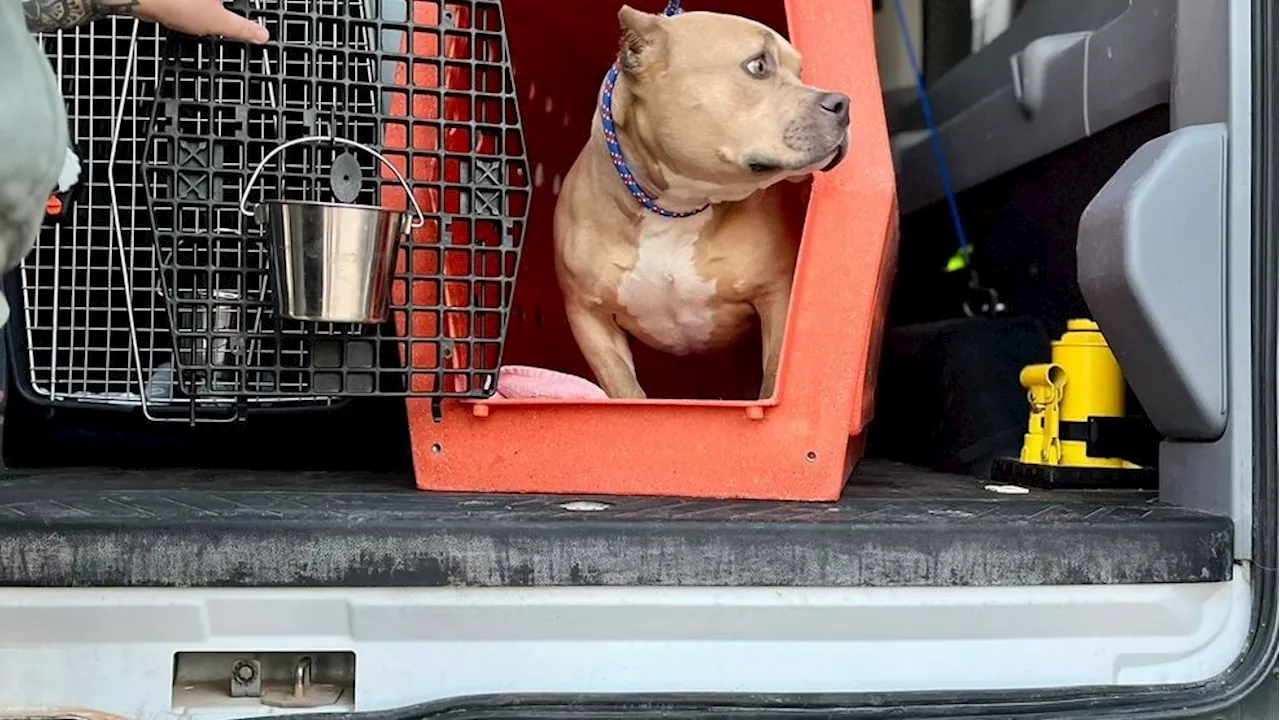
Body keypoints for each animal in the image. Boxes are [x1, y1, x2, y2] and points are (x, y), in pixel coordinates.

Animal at [558, 5, 849, 397]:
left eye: (800, 71)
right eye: (758, 65)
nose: (842, 103)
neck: (677, 208)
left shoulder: (776, 296)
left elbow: (774, 374)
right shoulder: (588, 316)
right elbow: (625, 389)